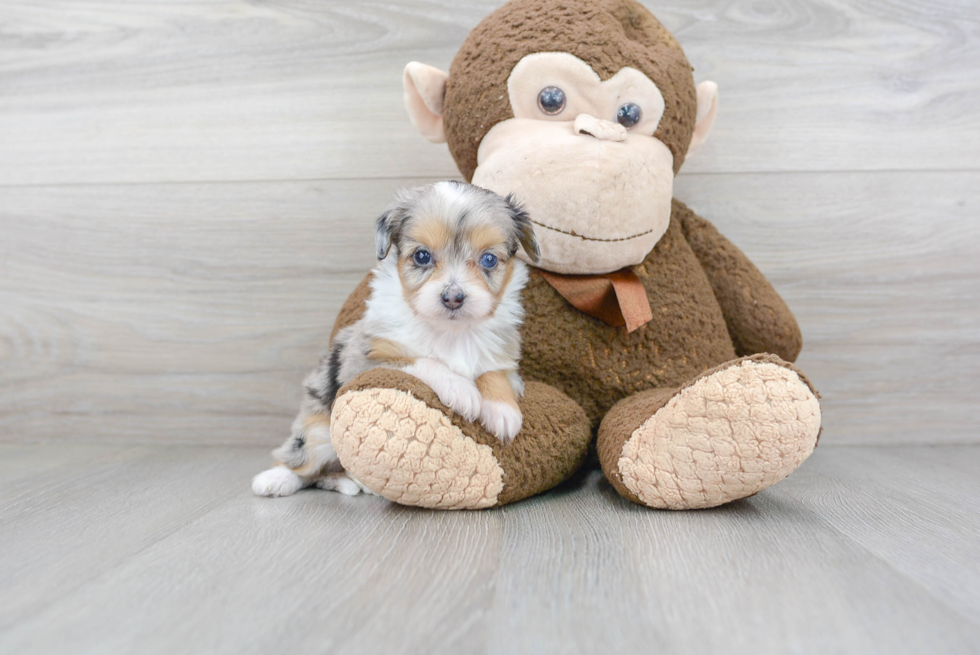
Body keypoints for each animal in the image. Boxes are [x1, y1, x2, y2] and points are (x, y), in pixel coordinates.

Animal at [249, 181, 540, 498]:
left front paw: (502, 410)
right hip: (317, 432)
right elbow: (420, 360)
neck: (449, 332)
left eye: (489, 259)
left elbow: (493, 373)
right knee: (301, 460)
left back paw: (351, 483)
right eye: (422, 256)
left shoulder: (505, 362)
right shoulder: (365, 361)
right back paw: (275, 480)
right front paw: (461, 389)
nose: (453, 297)